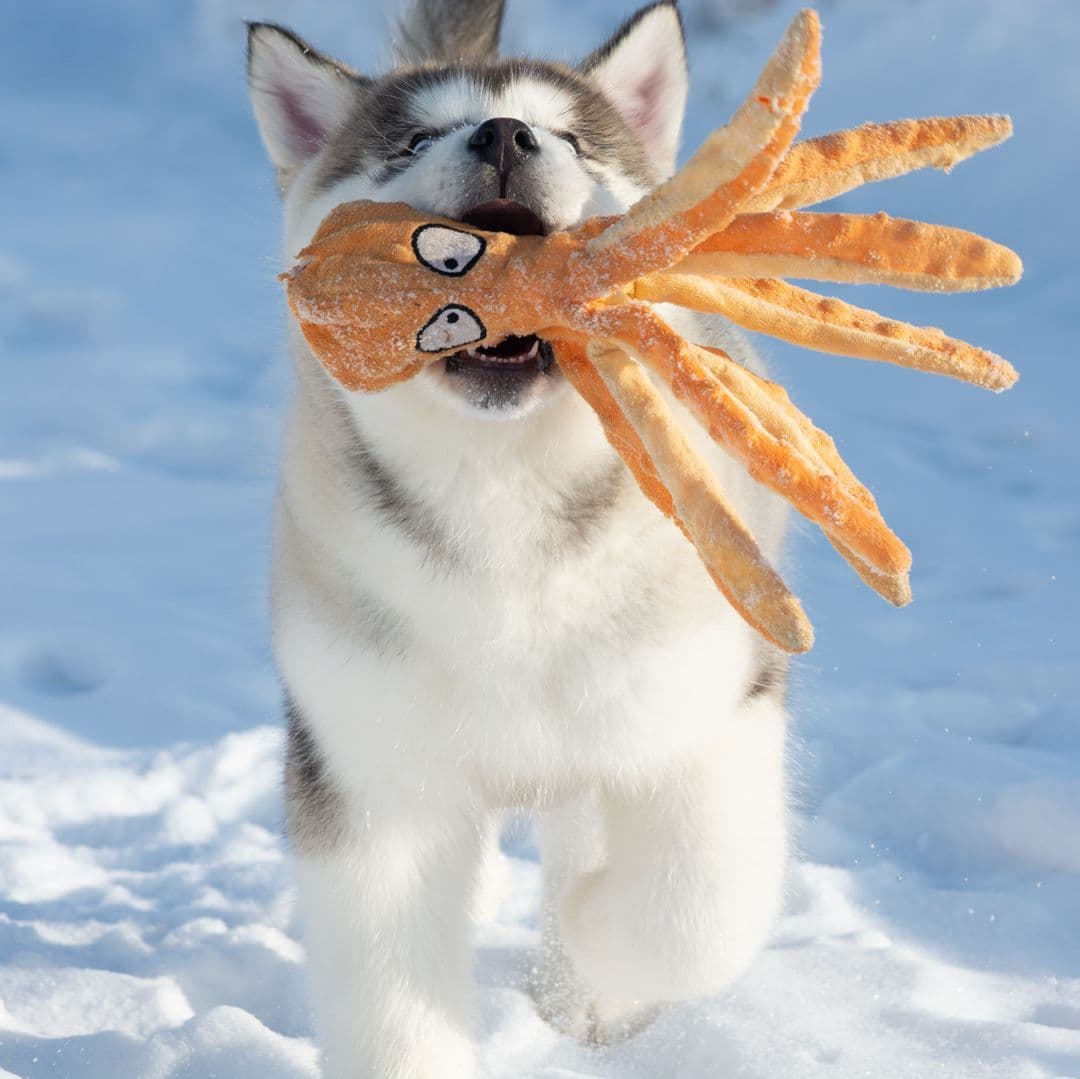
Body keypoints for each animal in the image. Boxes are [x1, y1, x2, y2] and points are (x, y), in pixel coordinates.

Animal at [248, 4, 794, 1075]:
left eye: (573, 138)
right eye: (413, 140)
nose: (504, 135)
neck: (504, 502)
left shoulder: (712, 706)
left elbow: (693, 908)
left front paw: (596, 942)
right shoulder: (370, 772)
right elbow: (391, 999)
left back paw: (581, 986)